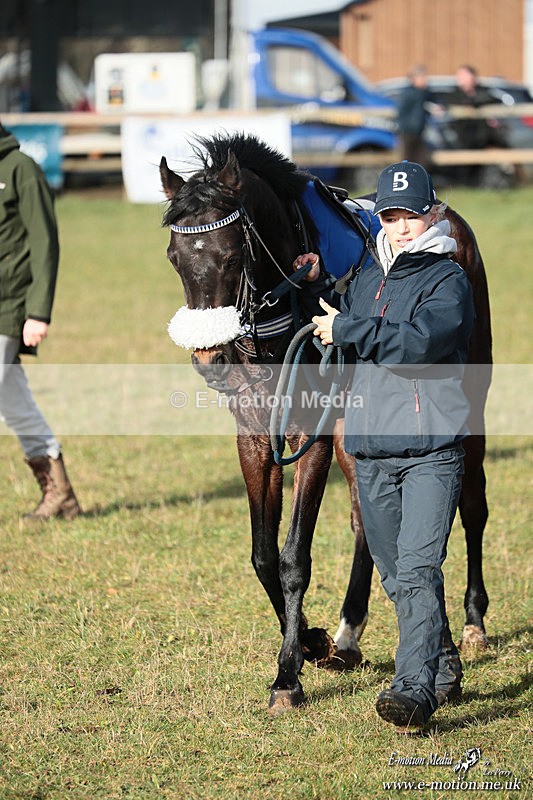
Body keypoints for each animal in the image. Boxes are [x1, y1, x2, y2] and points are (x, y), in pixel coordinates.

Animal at [159, 132, 492, 714]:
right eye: (176, 258)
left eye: (231, 253)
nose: (209, 359)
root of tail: (451, 219)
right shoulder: (255, 436)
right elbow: (264, 556)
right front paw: (311, 641)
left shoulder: (309, 433)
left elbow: (293, 558)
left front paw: (286, 677)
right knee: (367, 519)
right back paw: (346, 634)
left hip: (469, 402)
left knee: (471, 504)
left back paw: (473, 621)